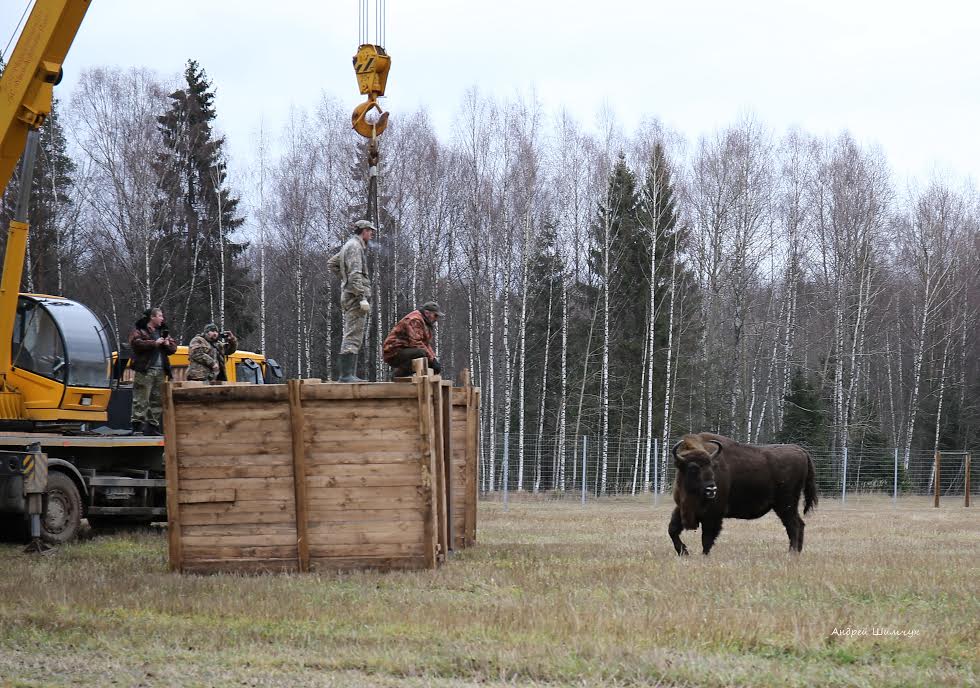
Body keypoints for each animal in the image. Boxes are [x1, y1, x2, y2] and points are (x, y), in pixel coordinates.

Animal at [668, 432, 820, 556]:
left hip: (786, 504)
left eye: (712, 466)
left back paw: (792, 552)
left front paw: (703, 555)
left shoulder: (713, 514)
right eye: (693, 468)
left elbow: (707, 537)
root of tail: (800, 450)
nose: (711, 489)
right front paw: (684, 552)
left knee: (793, 525)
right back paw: (796, 552)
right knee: (799, 524)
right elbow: (672, 530)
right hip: (786, 506)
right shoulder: (680, 508)